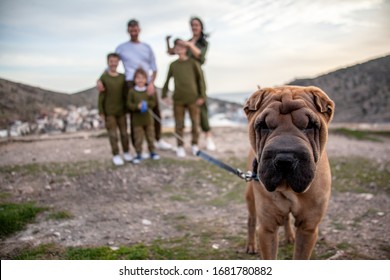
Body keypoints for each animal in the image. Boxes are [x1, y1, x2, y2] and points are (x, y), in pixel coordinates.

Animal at [244, 85, 336, 260]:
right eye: (264, 125)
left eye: (309, 125)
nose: (285, 159)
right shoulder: (267, 228)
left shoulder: (308, 227)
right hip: (251, 198)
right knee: (251, 220)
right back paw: (251, 245)